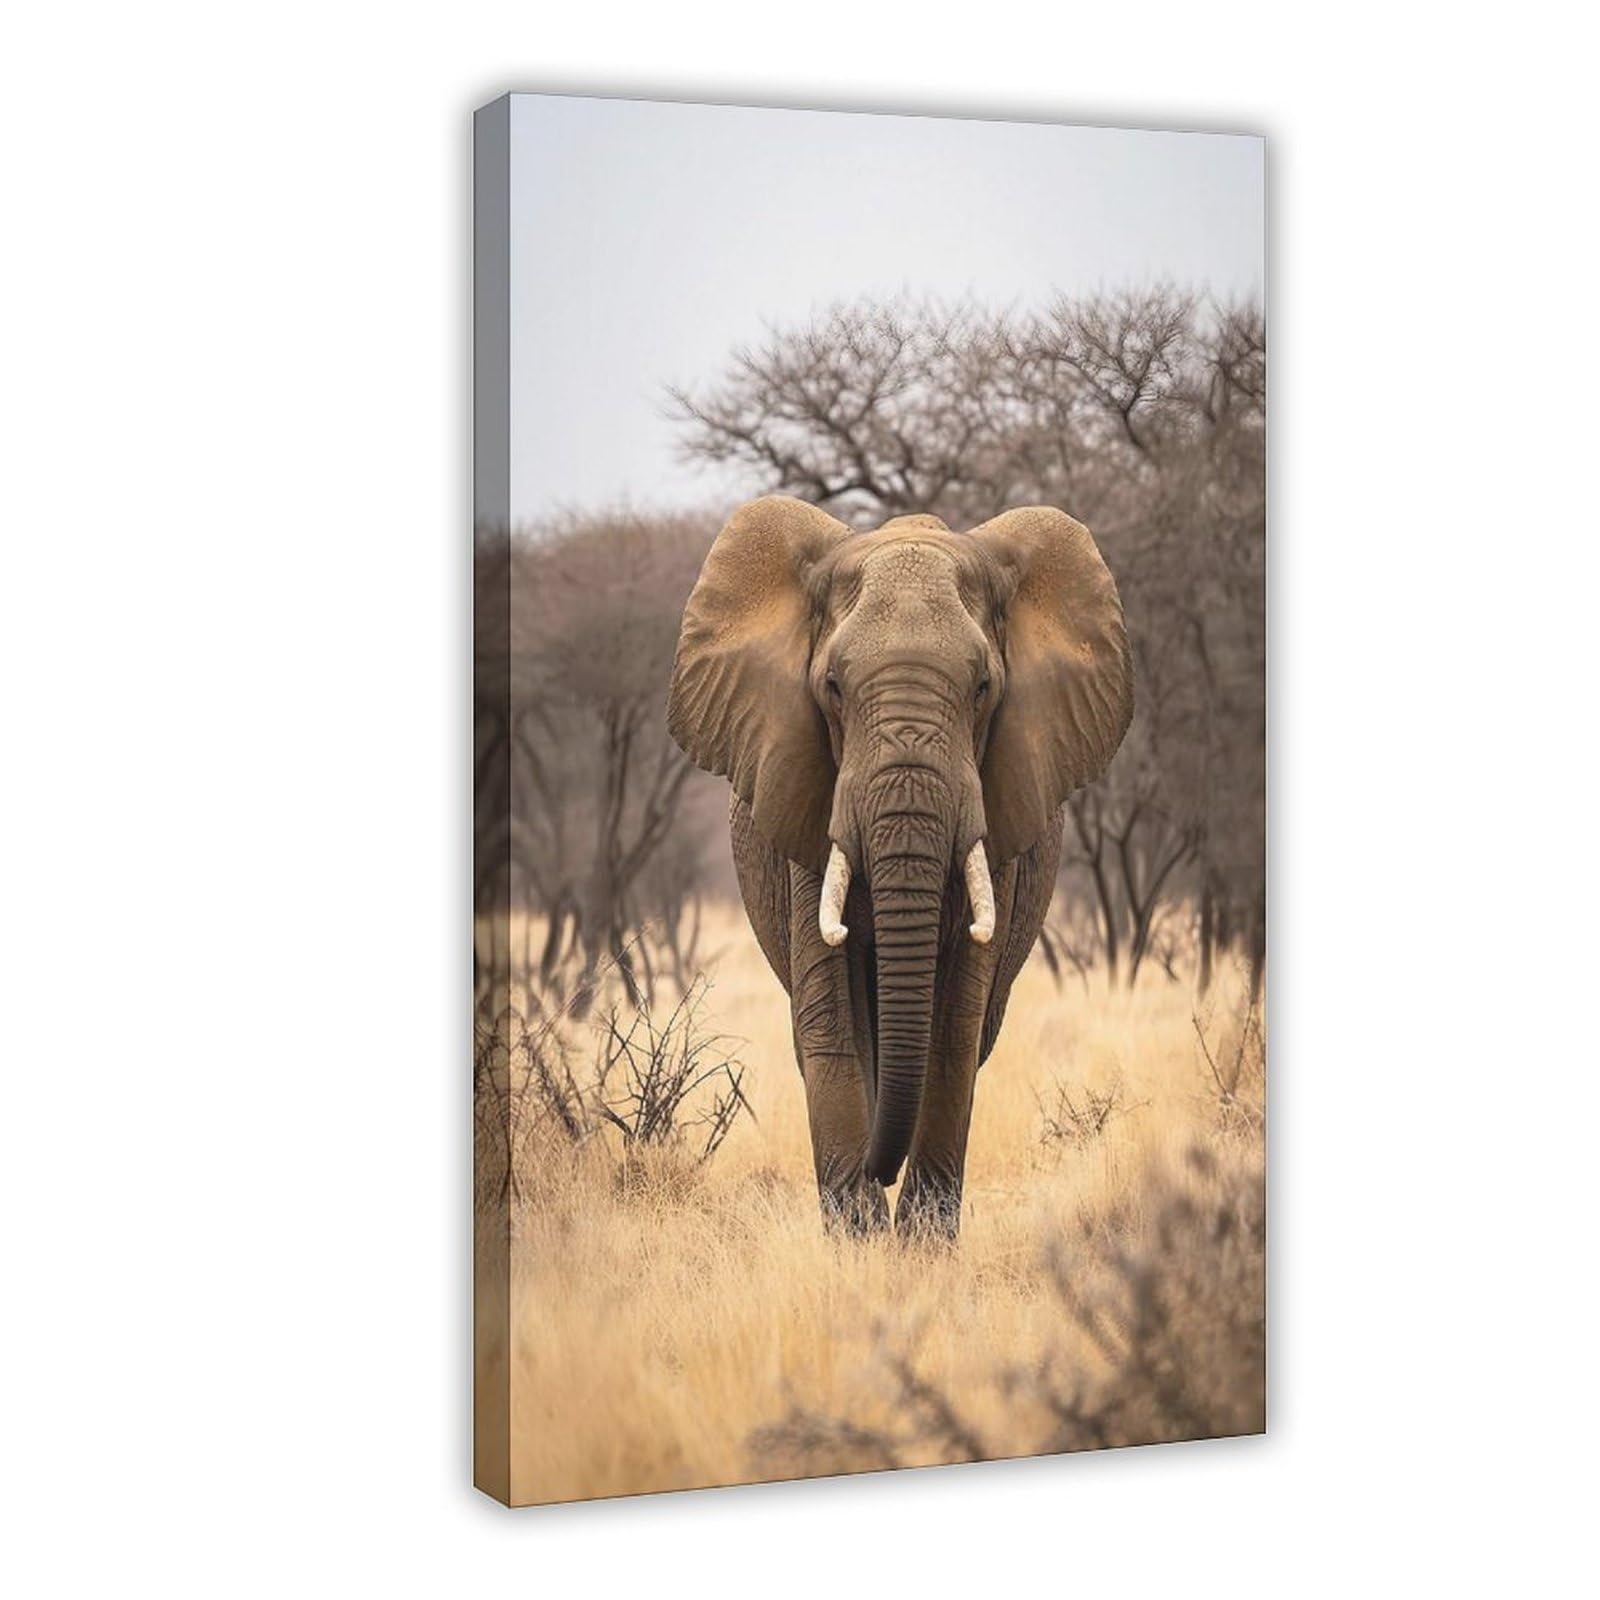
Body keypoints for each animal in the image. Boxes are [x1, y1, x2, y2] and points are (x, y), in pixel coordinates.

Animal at [668, 496, 1133, 1238]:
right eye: (832, 686)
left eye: (982, 687)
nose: (878, 1171)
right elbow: (830, 1020)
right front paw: (859, 1242)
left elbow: (955, 1026)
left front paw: (920, 1244)